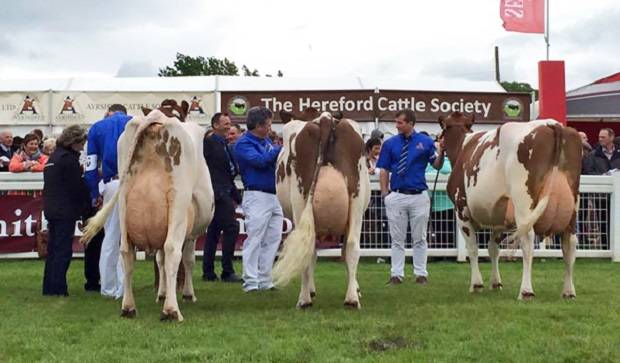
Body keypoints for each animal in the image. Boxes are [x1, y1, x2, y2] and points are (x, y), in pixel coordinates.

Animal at [82, 99, 214, 322]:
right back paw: (171, 311)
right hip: (177, 201)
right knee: (172, 250)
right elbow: (187, 260)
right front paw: (187, 294)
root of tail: (157, 118)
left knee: (126, 253)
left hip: (124, 202)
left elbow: (159, 261)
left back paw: (128, 307)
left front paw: (161, 293)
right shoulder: (192, 232)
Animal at [270, 111, 368, 310]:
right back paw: (351, 299)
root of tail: (325, 117)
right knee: (352, 246)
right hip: (356, 199)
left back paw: (305, 299)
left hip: (300, 201)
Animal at [440, 112, 580, 300]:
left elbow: (473, 248)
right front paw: (495, 283)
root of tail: (551, 124)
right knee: (569, 244)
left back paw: (526, 291)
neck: (463, 147)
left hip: (523, 203)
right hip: (572, 208)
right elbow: (493, 248)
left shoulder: (461, 209)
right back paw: (568, 291)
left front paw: (476, 284)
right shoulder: (499, 216)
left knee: (527, 241)